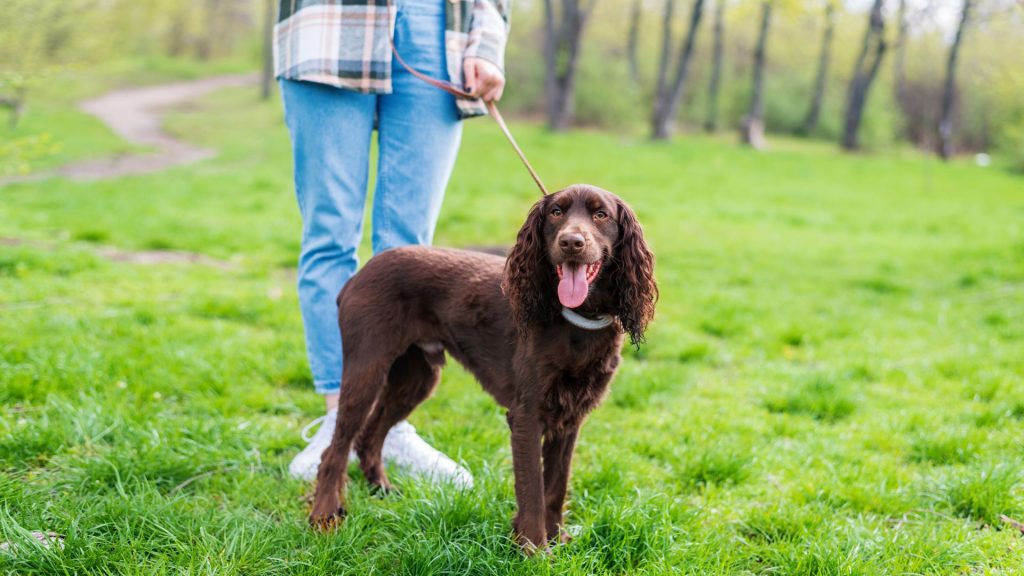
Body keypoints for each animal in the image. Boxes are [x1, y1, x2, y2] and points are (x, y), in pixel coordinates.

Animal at [307, 183, 655, 545]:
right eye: (556, 212)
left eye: (601, 214)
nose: (571, 243)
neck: (576, 320)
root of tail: (357, 276)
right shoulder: (526, 415)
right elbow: (532, 488)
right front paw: (533, 547)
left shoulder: (570, 416)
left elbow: (556, 485)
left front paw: (557, 539)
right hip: (367, 369)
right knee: (335, 449)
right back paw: (325, 515)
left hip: (417, 377)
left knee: (370, 436)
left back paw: (381, 489)